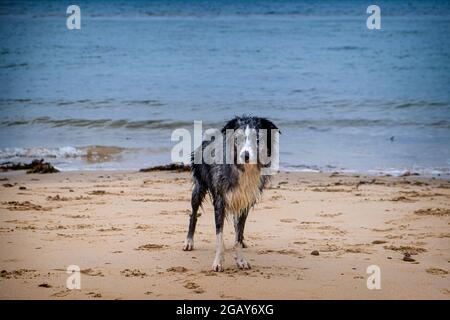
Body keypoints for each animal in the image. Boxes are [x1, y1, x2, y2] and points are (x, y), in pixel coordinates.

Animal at [182, 116, 278, 272]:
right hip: (199, 187)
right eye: (237, 138)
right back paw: (189, 242)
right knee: (193, 214)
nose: (245, 156)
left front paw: (240, 259)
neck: (243, 169)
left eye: (257, 139)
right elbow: (219, 234)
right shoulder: (220, 201)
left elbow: (238, 234)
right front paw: (218, 262)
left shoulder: (245, 201)